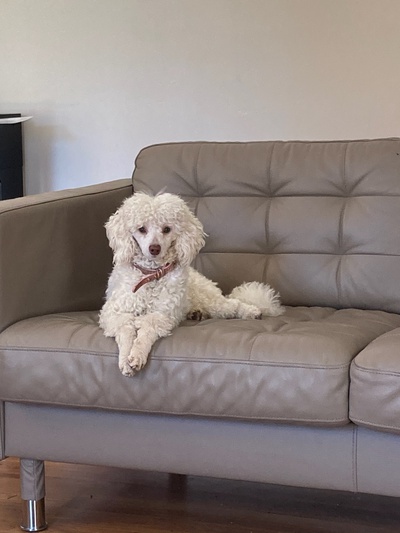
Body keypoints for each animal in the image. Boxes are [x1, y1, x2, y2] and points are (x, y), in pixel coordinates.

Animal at [99, 192, 284, 376]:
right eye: (141, 229)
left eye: (167, 229)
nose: (154, 248)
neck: (151, 275)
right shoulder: (114, 313)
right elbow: (126, 332)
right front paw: (125, 359)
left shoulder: (162, 315)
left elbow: (146, 332)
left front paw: (137, 355)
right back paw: (195, 314)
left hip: (211, 300)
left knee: (232, 304)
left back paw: (251, 311)